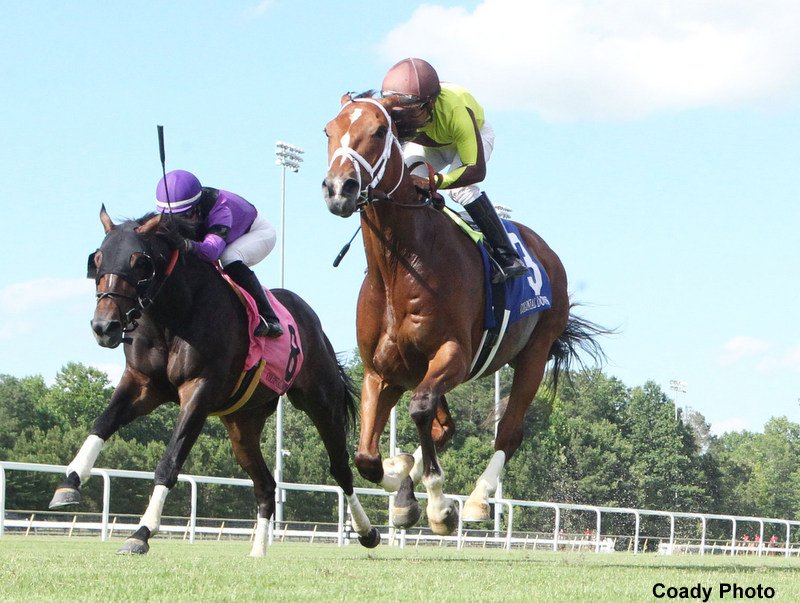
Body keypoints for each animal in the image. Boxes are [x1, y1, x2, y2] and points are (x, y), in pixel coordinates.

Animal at [48, 209, 380, 556]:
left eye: (140, 262)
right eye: (97, 259)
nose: (104, 326)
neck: (174, 315)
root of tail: (309, 318)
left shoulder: (199, 390)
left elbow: (170, 461)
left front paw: (141, 532)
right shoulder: (142, 383)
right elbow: (103, 422)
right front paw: (69, 483)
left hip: (320, 400)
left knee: (340, 468)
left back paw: (367, 531)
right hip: (242, 423)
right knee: (266, 484)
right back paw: (258, 550)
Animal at [322, 92, 604, 536]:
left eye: (380, 131)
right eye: (328, 131)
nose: (339, 188)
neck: (400, 265)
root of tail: (545, 252)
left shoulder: (454, 353)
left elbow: (419, 413)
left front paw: (439, 506)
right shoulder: (382, 371)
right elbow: (367, 457)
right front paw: (400, 477)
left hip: (534, 354)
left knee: (508, 432)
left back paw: (477, 500)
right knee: (444, 426)